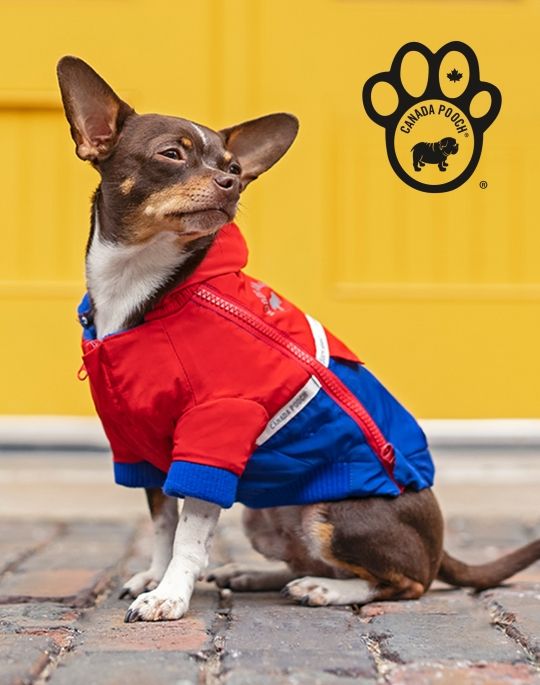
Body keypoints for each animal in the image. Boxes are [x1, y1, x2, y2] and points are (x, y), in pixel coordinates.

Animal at [56, 57, 540, 620]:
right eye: (171, 154)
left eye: (233, 166)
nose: (231, 182)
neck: (144, 286)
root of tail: (439, 545)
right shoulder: (139, 443)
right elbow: (162, 522)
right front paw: (154, 577)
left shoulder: (214, 432)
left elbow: (188, 536)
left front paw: (169, 596)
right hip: (264, 517)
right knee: (306, 561)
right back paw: (251, 575)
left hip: (335, 517)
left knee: (403, 582)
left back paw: (325, 590)